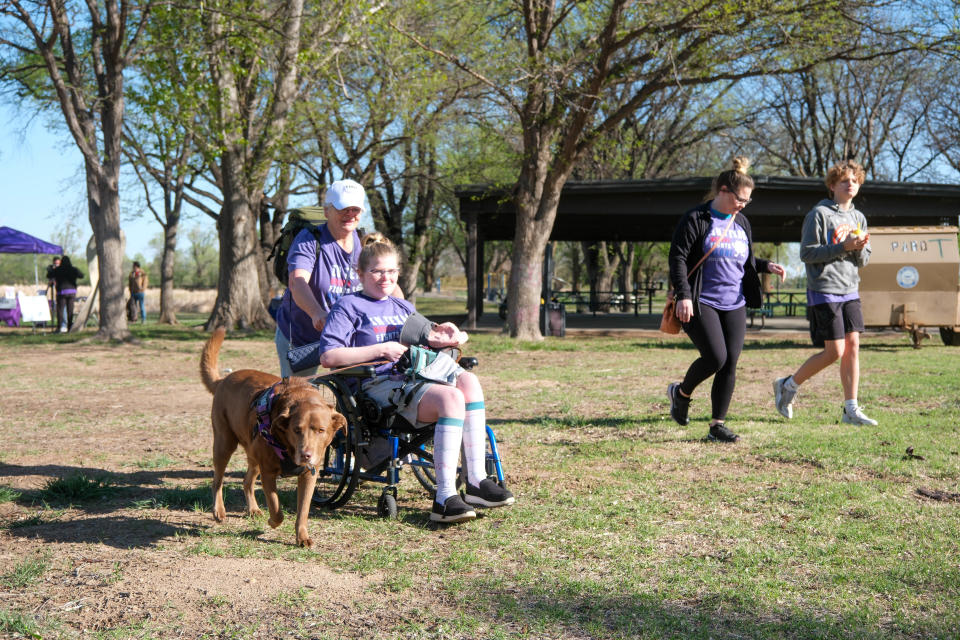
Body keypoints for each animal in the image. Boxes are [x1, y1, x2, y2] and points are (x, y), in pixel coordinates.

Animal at [199, 330, 344, 544]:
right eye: (296, 430)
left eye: (321, 430)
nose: (306, 455)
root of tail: (223, 380)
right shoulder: (268, 473)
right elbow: (276, 509)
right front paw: (272, 522)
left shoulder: (309, 475)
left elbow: (303, 510)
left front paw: (302, 537)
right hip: (224, 443)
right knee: (217, 479)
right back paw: (219, 511)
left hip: (252, 453)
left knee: (247, 482)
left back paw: (253, 509)